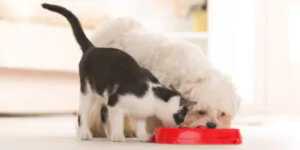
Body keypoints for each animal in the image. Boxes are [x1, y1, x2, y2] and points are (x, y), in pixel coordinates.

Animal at [42, 2, 197, 142]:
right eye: (181, 117)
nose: (180, 126)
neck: (152, 96)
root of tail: (92, 48)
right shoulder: (115, 102)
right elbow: (117, 120)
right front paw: (118, 136)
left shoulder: (138, 114)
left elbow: (139, 126)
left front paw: (143, 137)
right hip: (87, 91)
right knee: (83, 114)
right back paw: (86, 134)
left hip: (102, 94)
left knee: (102, 113)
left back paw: (108, 134)